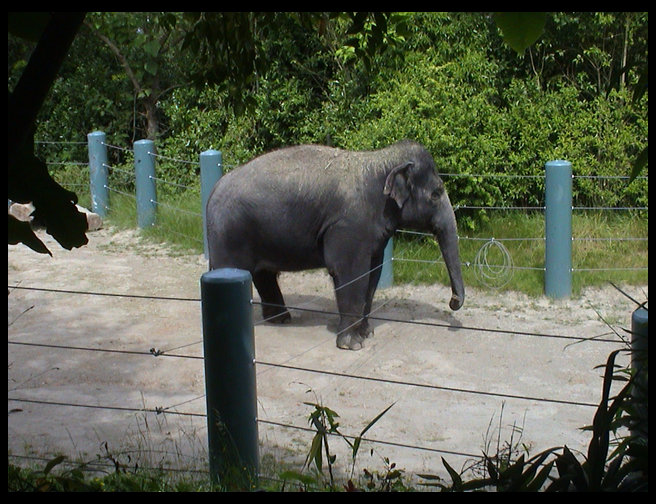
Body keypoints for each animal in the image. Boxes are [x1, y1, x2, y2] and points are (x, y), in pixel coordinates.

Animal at [206, 140, 465, 350]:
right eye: (436, 194)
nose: (453, 301)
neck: (379, 160)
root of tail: (214, 188)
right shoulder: (348, 227)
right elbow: (350, 273)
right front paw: (352, 345)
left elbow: (373, 274)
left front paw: (367, 334)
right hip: (228, 235)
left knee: (263, 274)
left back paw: (280, 319)